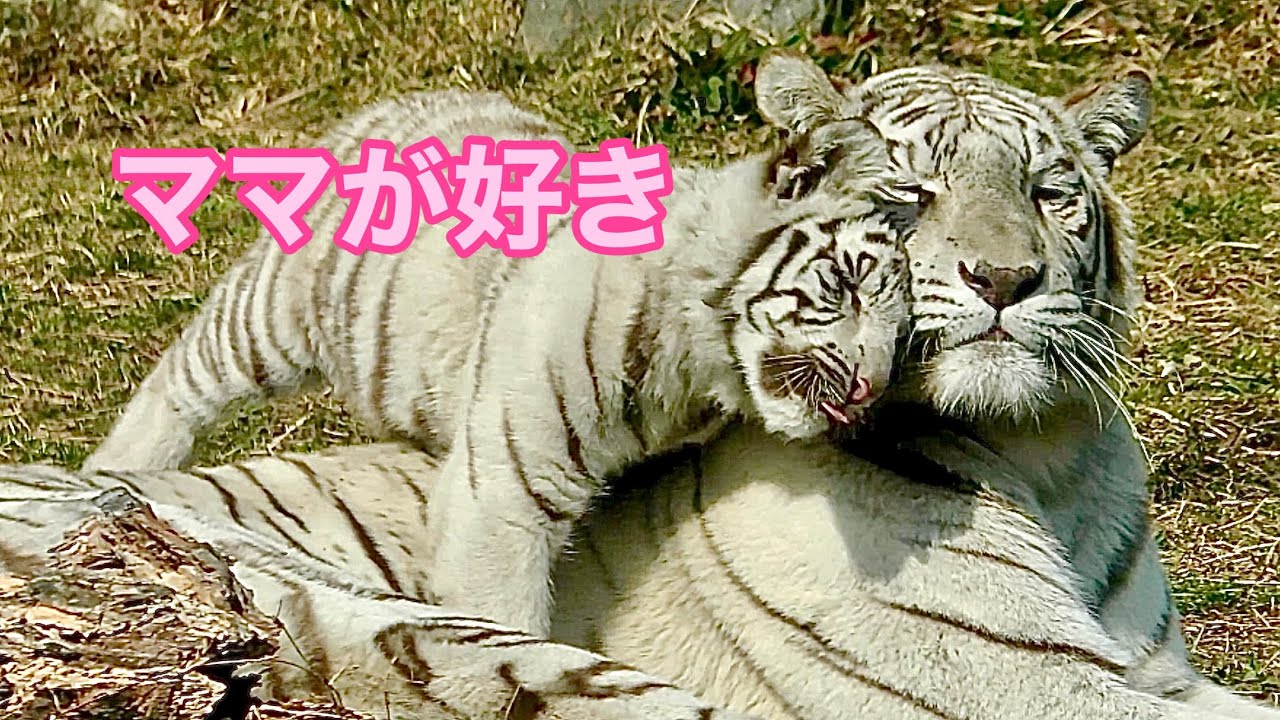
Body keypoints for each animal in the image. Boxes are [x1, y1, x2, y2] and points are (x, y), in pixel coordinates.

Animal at [84, 68, 917, 637]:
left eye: (903, 340)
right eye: (848, 283)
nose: (868, 386)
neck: (693, 371)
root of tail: (403, 98)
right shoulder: (508, 492)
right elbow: (505, 611)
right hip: (278, 311)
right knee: (185, 375)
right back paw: (110, 471)